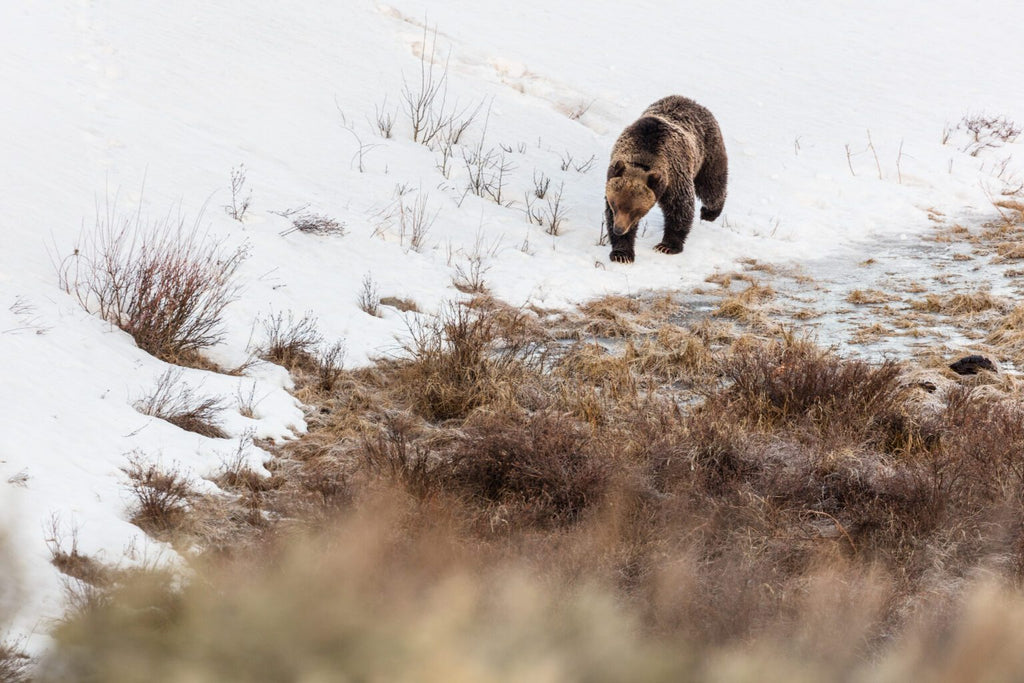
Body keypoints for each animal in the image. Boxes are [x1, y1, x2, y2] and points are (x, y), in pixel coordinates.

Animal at [598, 96, 729, 264]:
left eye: (635, 210)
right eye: (615, 205)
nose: (619, 229)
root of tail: (693, 102)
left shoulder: (674, 177)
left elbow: (679, 208)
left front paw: (666, 246)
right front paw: (622, 253)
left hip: (708, 152)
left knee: (712, 185)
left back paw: (709, 212)